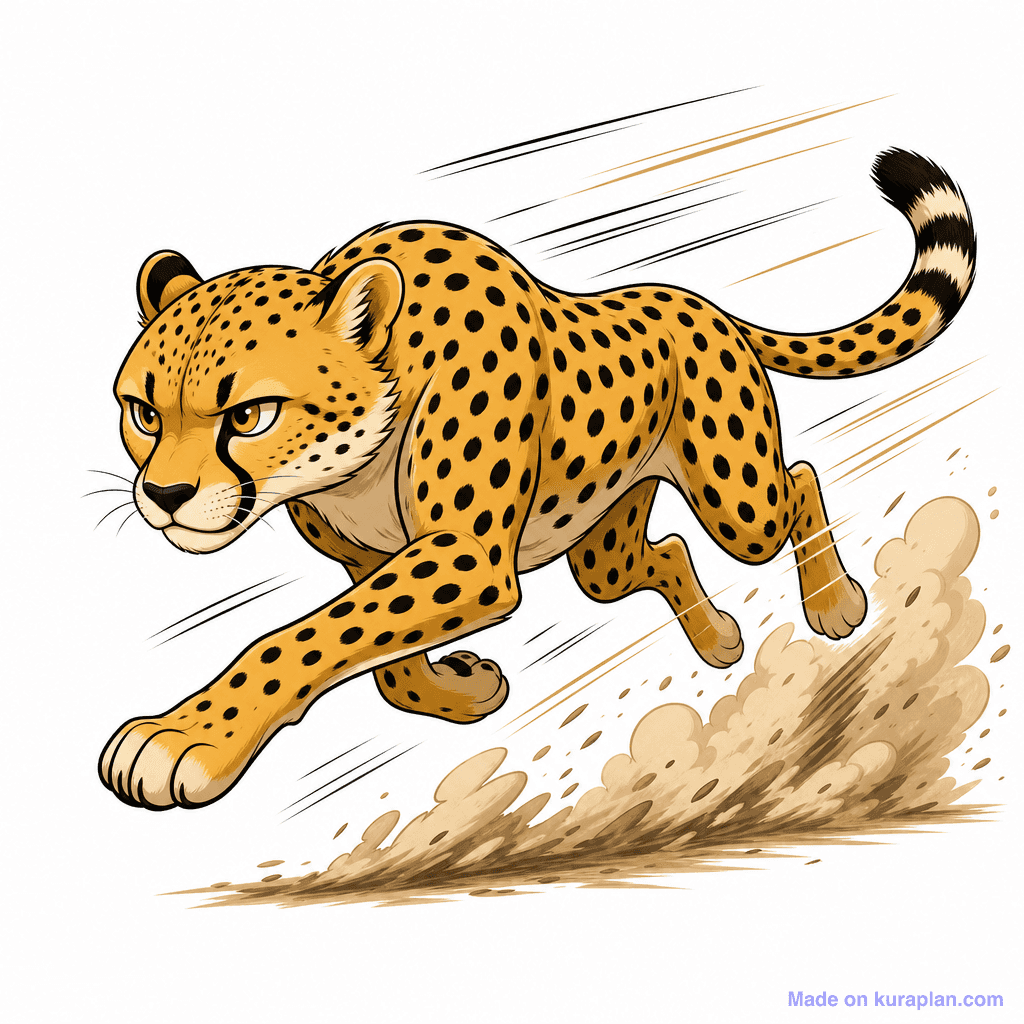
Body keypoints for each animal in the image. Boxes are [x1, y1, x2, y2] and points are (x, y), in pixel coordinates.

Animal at [100, 148, 975, 809]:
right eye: (143, 412)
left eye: (249, 415)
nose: (164, 498)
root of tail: (696, 300)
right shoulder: (372, 560)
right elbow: (380, 664)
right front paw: (464, 691)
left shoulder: (467, 556)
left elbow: (300, 637)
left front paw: (183, 738)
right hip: (602, 548)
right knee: (660, 554)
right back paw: (719, 638)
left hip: (739, 504)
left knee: (794, 480)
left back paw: (832, 602)